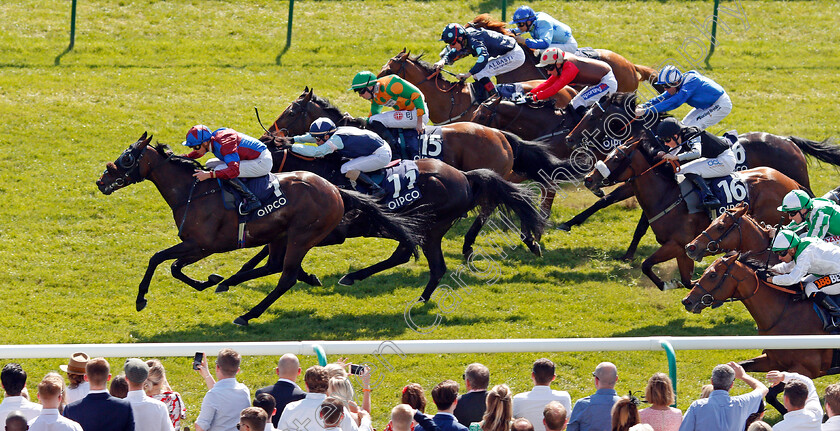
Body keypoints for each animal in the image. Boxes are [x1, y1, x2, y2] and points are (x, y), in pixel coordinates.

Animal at [95, 133, 420, 326]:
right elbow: (172, 266)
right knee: (275, 265)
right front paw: (211, 280)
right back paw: (236, 282)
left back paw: (247, 314)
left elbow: (161, 261)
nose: (100, 181)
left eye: (127, 158)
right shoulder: (197, 246)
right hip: (281, 235)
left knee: (286, 277)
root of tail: (336, 189)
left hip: (302, 236)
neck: (192, 191)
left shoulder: (202, 245)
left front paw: (141, 299)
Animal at [220, 148, 544, 304]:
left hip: (431, 227)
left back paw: (414, 296)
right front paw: (226, 278)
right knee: (408, 256)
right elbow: (265, 254)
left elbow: (276, 258)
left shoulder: (329, 232)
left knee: (428, 263)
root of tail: (464, 177)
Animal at [584, 138, 808, 294]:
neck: (668, 195)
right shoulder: (683, 250)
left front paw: (668, 285)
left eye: (615, 158)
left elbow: (646, 264)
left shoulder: (676, 243)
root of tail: (792, 183)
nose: (588, 179)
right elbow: (685, 280)